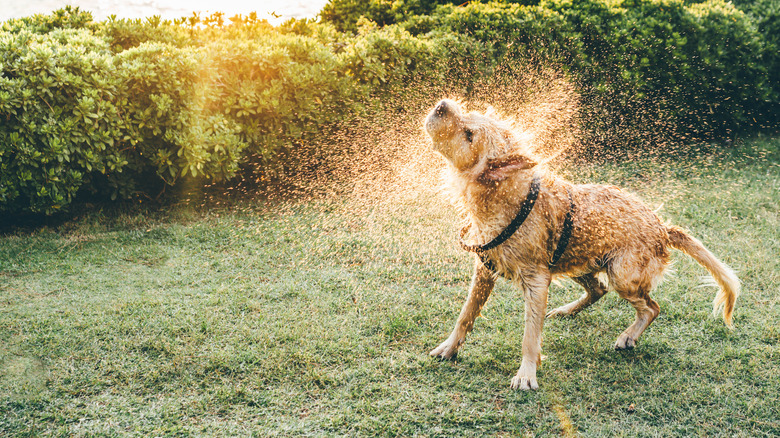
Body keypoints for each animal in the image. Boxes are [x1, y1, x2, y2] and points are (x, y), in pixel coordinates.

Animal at [426, 99, 736, 390]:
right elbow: (465, 315)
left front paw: (526, 374)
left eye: (469, 135)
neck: (505, 197)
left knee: (651, 307)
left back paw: (627, 336)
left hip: (622, 274)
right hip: (575, 260)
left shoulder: (536, 280)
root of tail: (662, 226)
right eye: (469, 114)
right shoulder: (484, 269)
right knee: (599, 289)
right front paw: (449, 348)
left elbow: (530, 335)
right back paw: (567, 310)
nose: (442, 105)